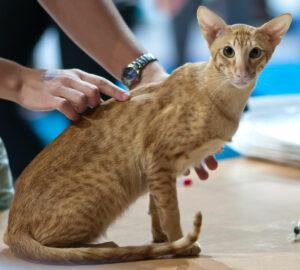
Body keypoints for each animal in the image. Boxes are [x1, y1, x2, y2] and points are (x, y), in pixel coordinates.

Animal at [4, 6, 290, 262]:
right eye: (228, 51)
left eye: (255, 52)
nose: (242, 74)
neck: (223, 98)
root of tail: (13, 225)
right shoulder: (159, 160)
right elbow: (171, 212)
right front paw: (181, 245)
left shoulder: (158, 171)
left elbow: (156, 209)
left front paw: (161, 239)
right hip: (109, 190)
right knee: (55, 246)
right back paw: (105, 248)